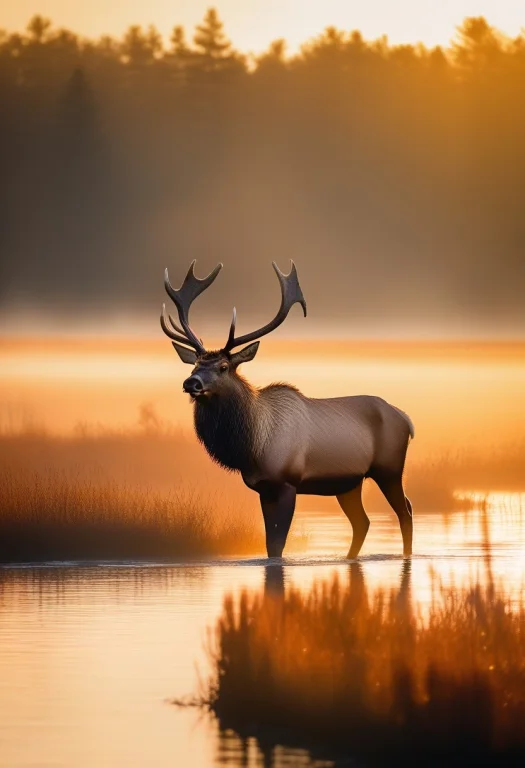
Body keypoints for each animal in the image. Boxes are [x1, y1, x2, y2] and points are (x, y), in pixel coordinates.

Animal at [160, 260, 414, 559]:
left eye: (223, 367)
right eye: (195, 365)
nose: (191, 383)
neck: (252, 445)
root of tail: (407, 420)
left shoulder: (287, 483)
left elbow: (279, 543)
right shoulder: (263, 489)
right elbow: (270, 545)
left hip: (389, 468)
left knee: (406, 510)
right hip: (349, 483)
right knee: (362, 521)